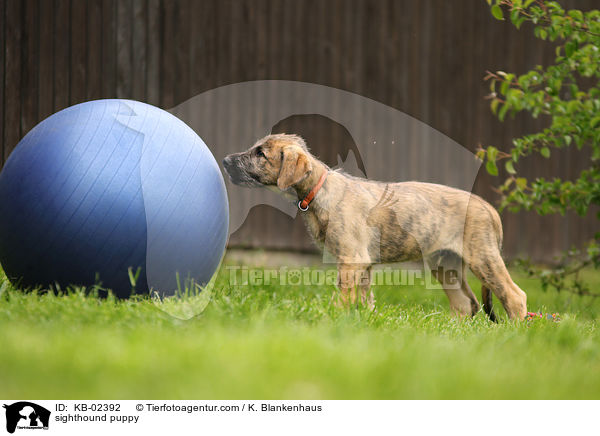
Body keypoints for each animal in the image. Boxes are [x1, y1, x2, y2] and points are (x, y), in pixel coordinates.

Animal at [223, 134, 528, 320]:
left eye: (261, 154)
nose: (225, 160)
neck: (320, 190)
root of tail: (488, 208)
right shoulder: (364, 264)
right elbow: (363, 299)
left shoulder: (351, 260)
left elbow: (344, 297)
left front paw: (333, 318)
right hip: (446, 264)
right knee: (465, 304)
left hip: (482, 257)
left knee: (515, 296)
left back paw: (517, 332)